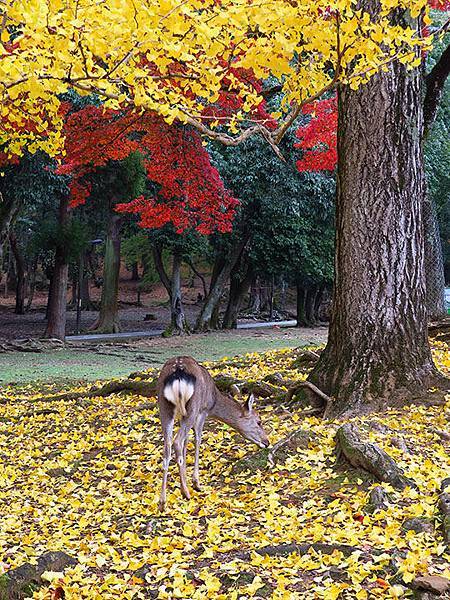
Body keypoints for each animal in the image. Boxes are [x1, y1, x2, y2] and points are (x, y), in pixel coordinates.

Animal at [156, 356, 268, 510]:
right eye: (259, 421)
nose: (267, 442)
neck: (214, 401)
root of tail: (177, 373)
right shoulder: (203, 411)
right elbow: (197, 439)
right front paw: (196, 483)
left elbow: (187, 442)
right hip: (192, 407)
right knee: (177, 442)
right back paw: (186, 493)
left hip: (164, 407)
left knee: (167, 446)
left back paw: (162, 502)